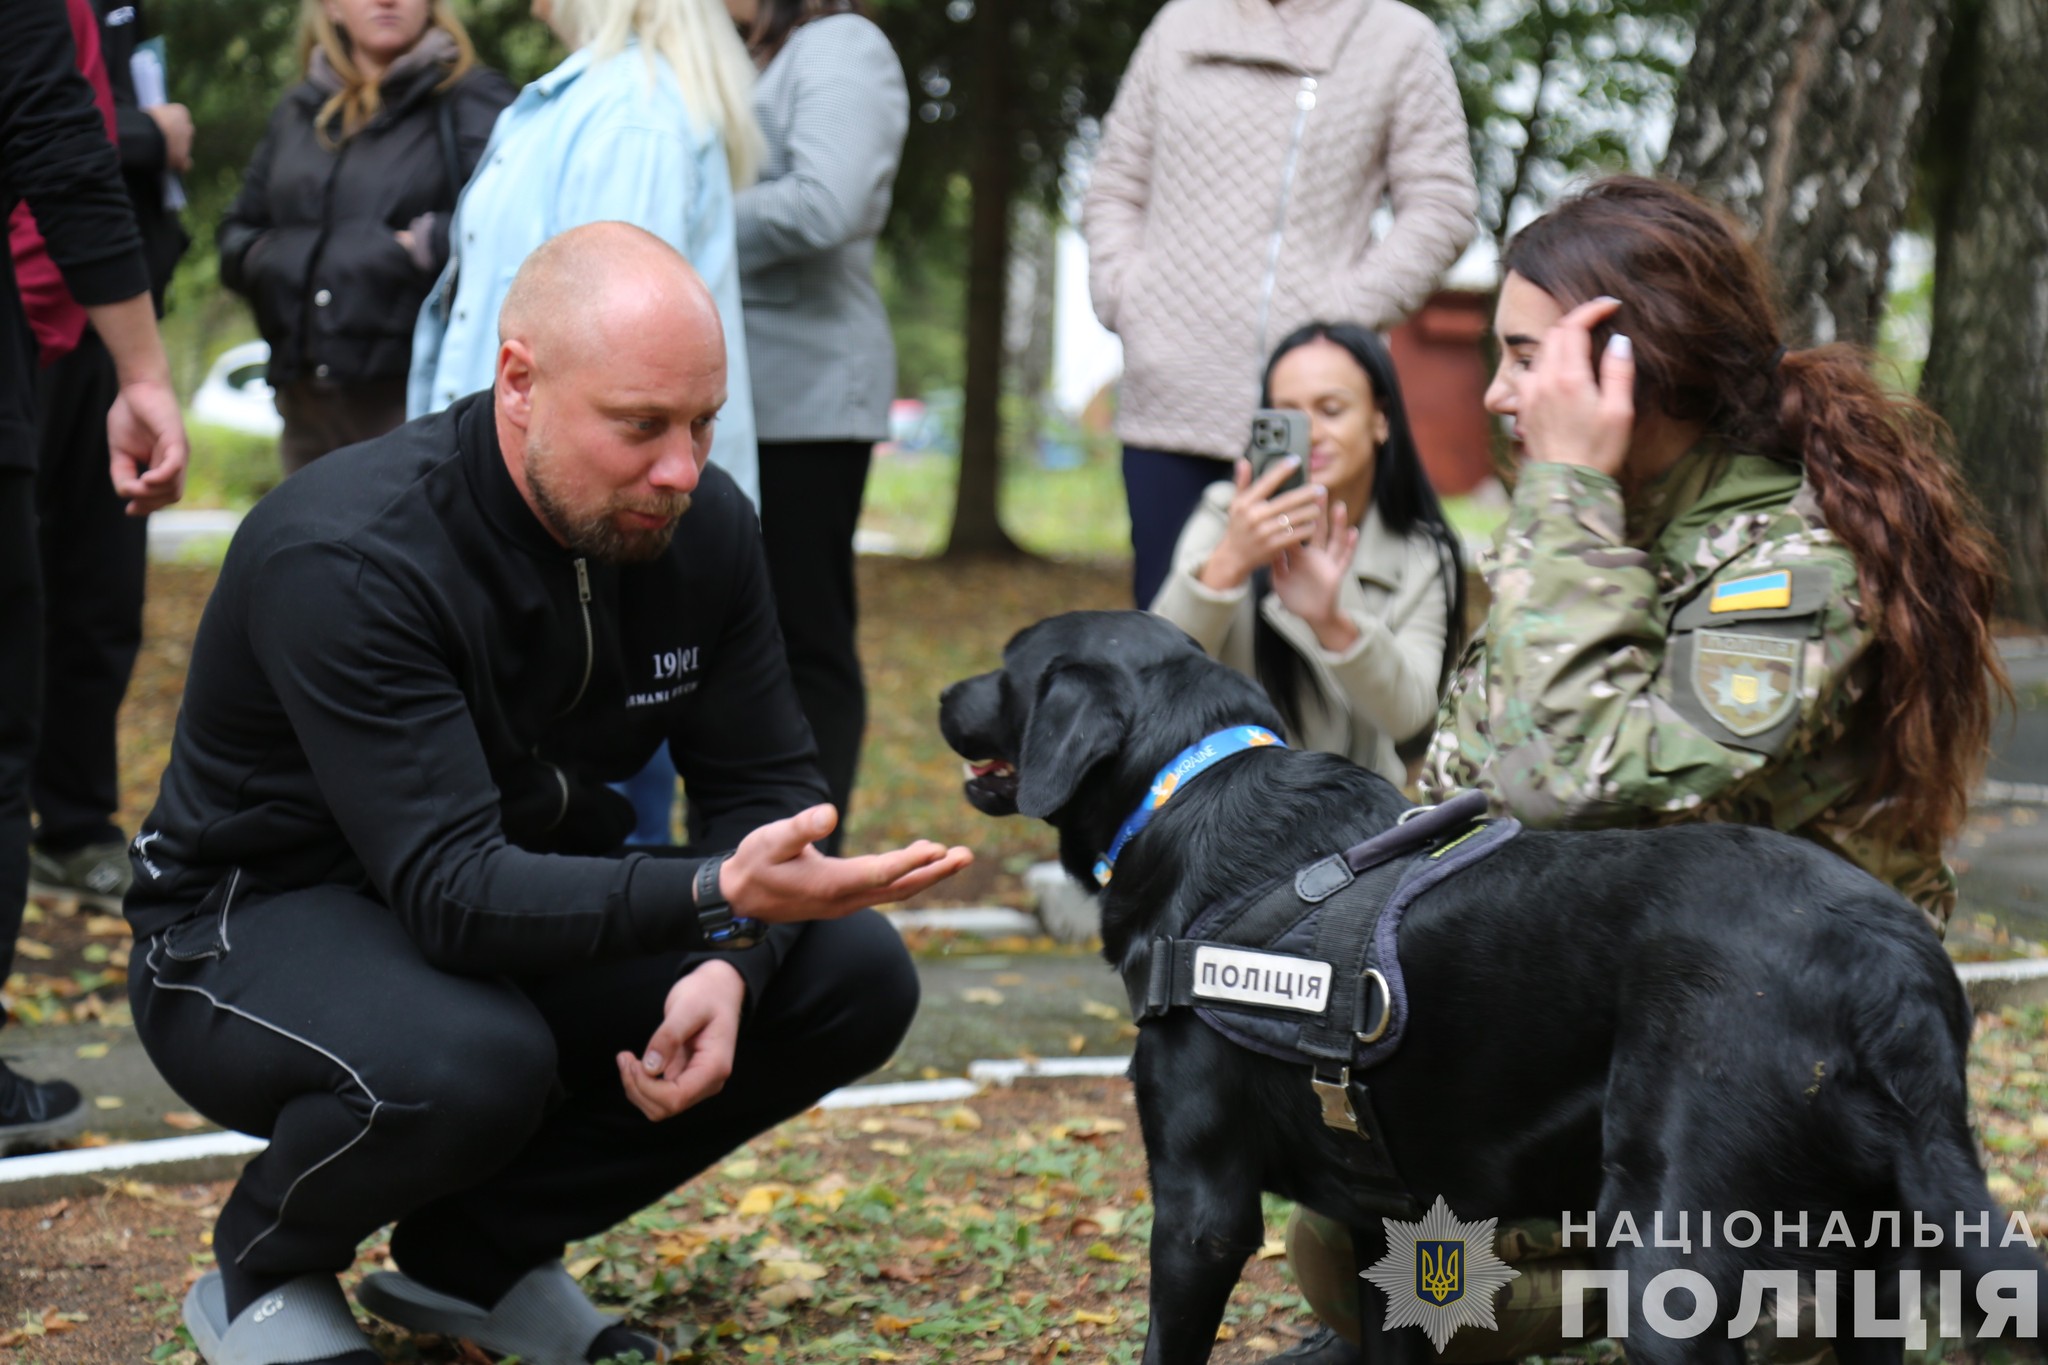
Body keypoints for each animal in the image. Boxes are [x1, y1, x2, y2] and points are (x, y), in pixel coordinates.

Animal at [937, 613, 2039, 1358]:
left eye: (1010, 664)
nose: (945, 695)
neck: (1190, 793)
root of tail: (1887, 963)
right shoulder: (1376, 1219)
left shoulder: (1200, 1208)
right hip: (1876, 1260)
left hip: (1668, 1253)